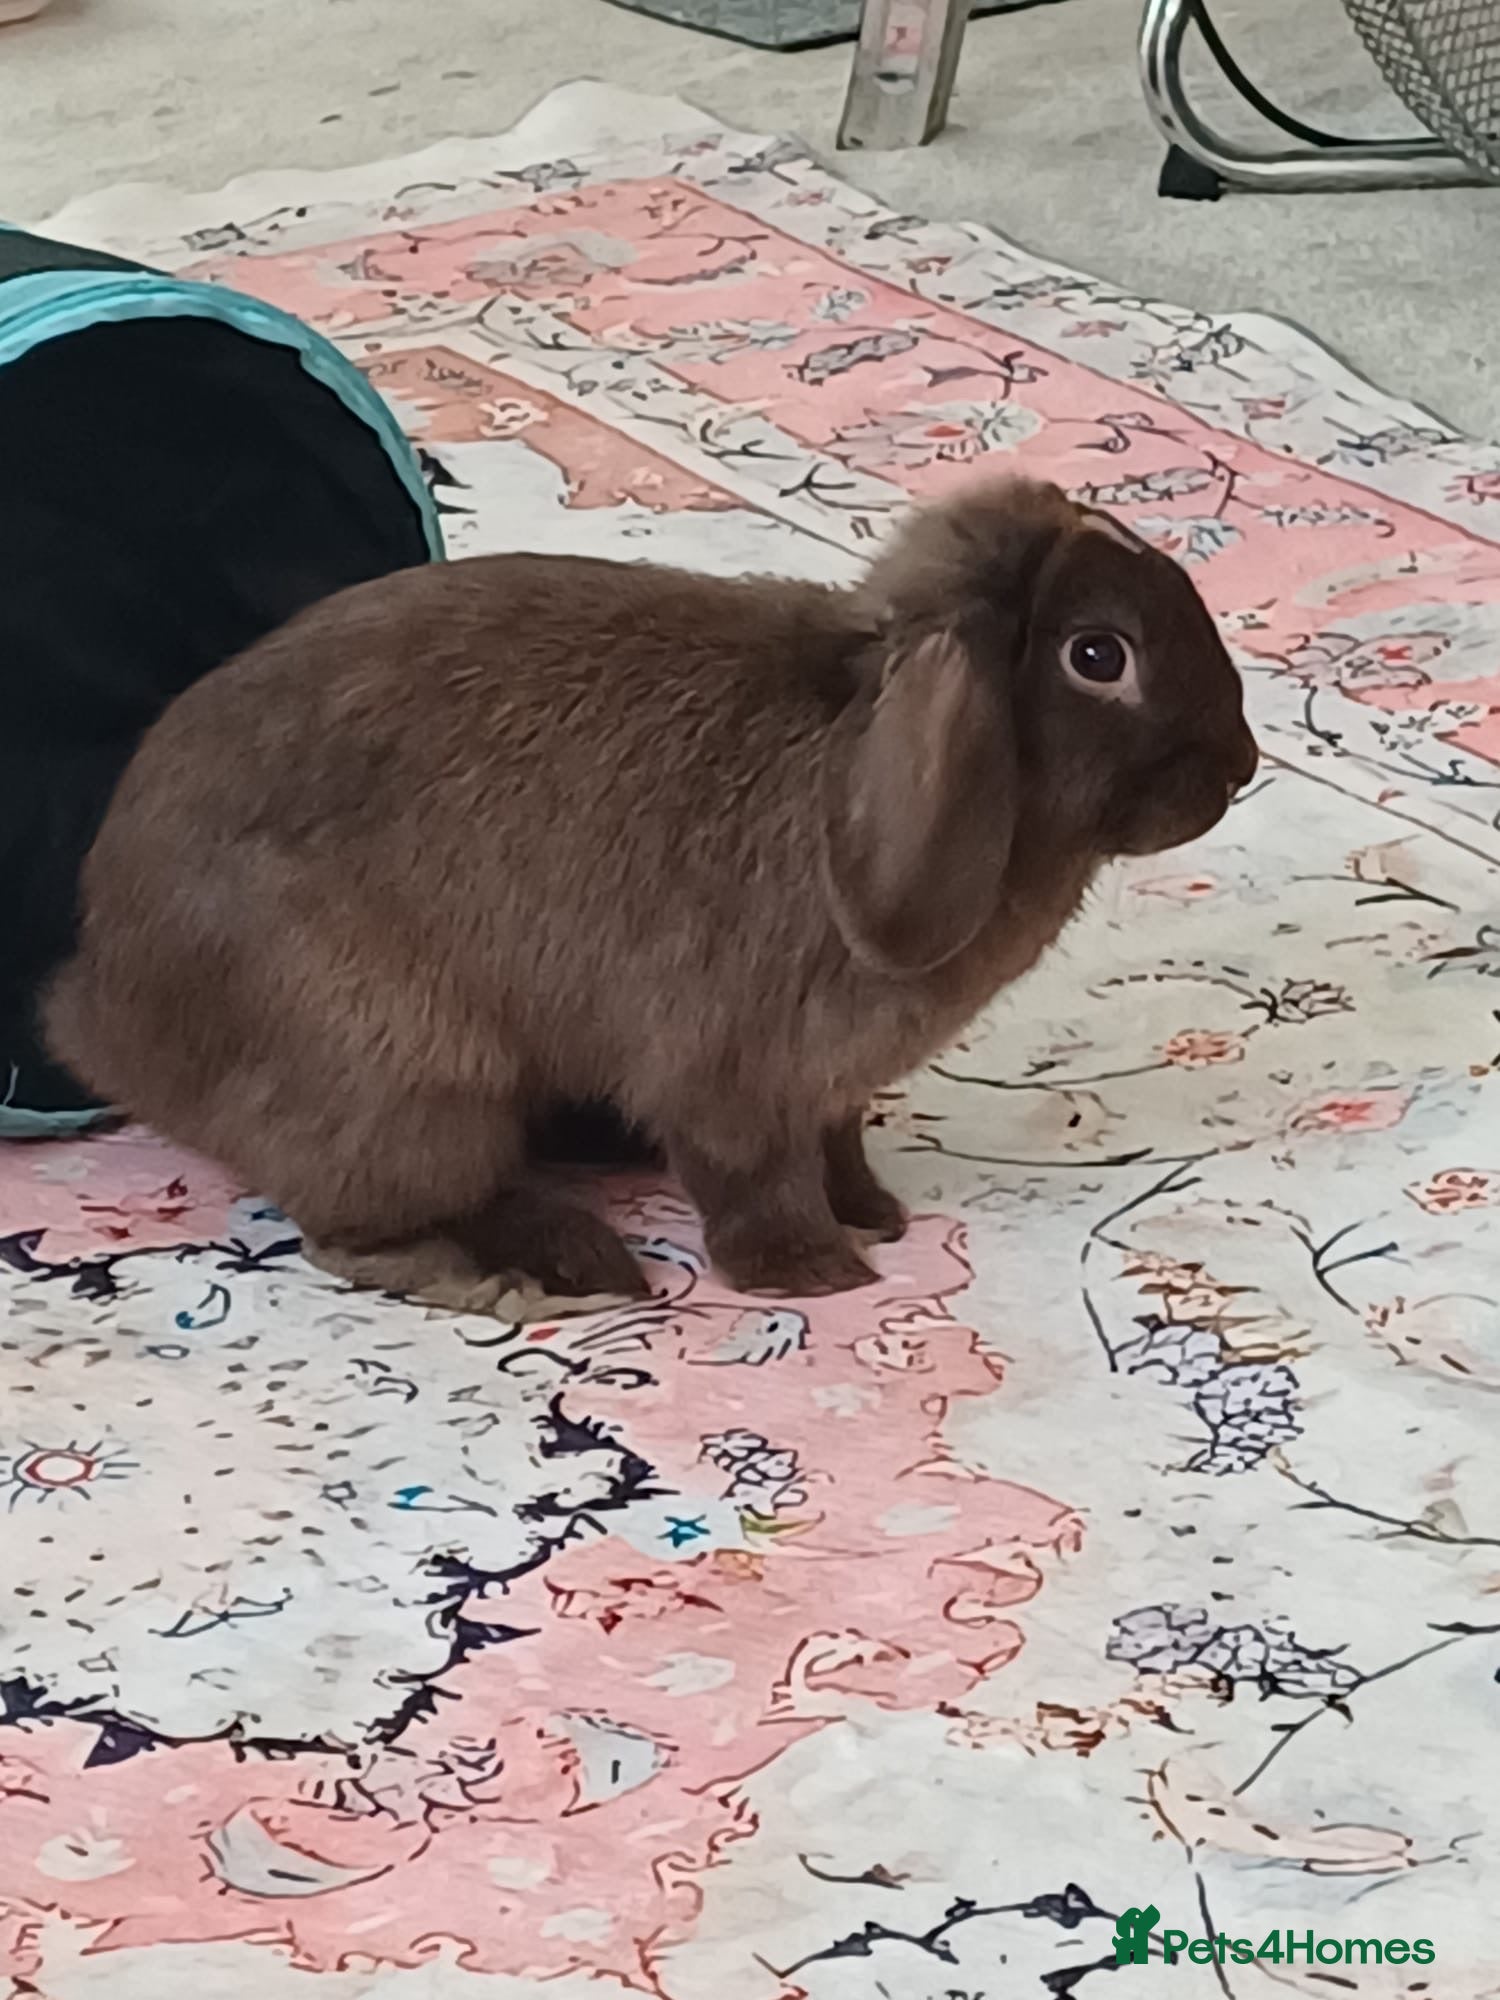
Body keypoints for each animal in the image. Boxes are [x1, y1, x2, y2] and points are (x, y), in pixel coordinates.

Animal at [45, 475, 1257, 1310]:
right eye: (1097, 655)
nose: (1240, 769)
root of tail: (97, 1014)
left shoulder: (827, 1091)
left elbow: (840, 1148)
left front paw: (878, 1216)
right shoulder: (735, 1077)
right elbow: (753, 1179)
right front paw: (819, 1274)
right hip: (403, 1076)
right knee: (362, 1225)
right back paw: (529, 1273)